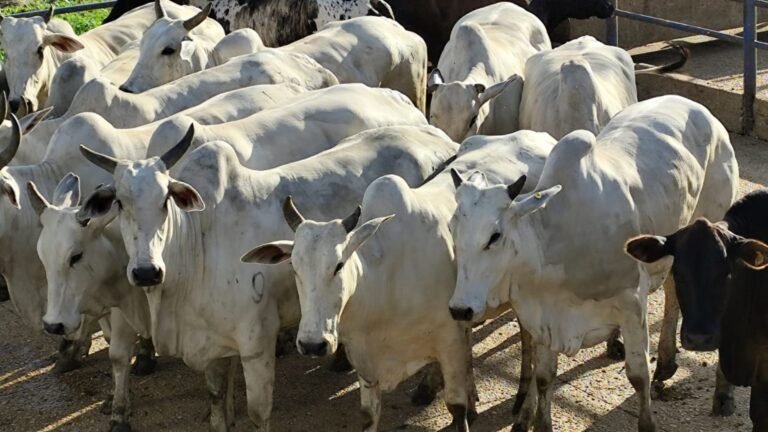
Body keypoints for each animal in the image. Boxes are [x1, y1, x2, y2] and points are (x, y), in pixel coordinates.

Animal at [75, 125, 458, 430]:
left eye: (166, 199)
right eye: (120, 203)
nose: (146, 271)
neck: (200, 242)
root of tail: (437, 135)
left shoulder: (256, 342)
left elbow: (258, 413)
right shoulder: (214, 342)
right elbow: (216, 397)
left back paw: (427, 386)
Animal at [242, 130, 554, 431]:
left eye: (339, 265)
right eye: (294, 267)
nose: (311, 344)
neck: (386, 284)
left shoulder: (449, 341)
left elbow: (456, 409)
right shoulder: (367, 364)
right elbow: (369, 416)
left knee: (533, 346)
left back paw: (522, 410)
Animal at [447, 95, 738, 432]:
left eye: (495, 236)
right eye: (452, 229)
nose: (460, 309)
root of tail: (700, 109)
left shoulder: (632, 304)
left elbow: (638, 375)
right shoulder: (543, 319)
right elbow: (544, 378)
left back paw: (704, 384)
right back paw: (657, 358)